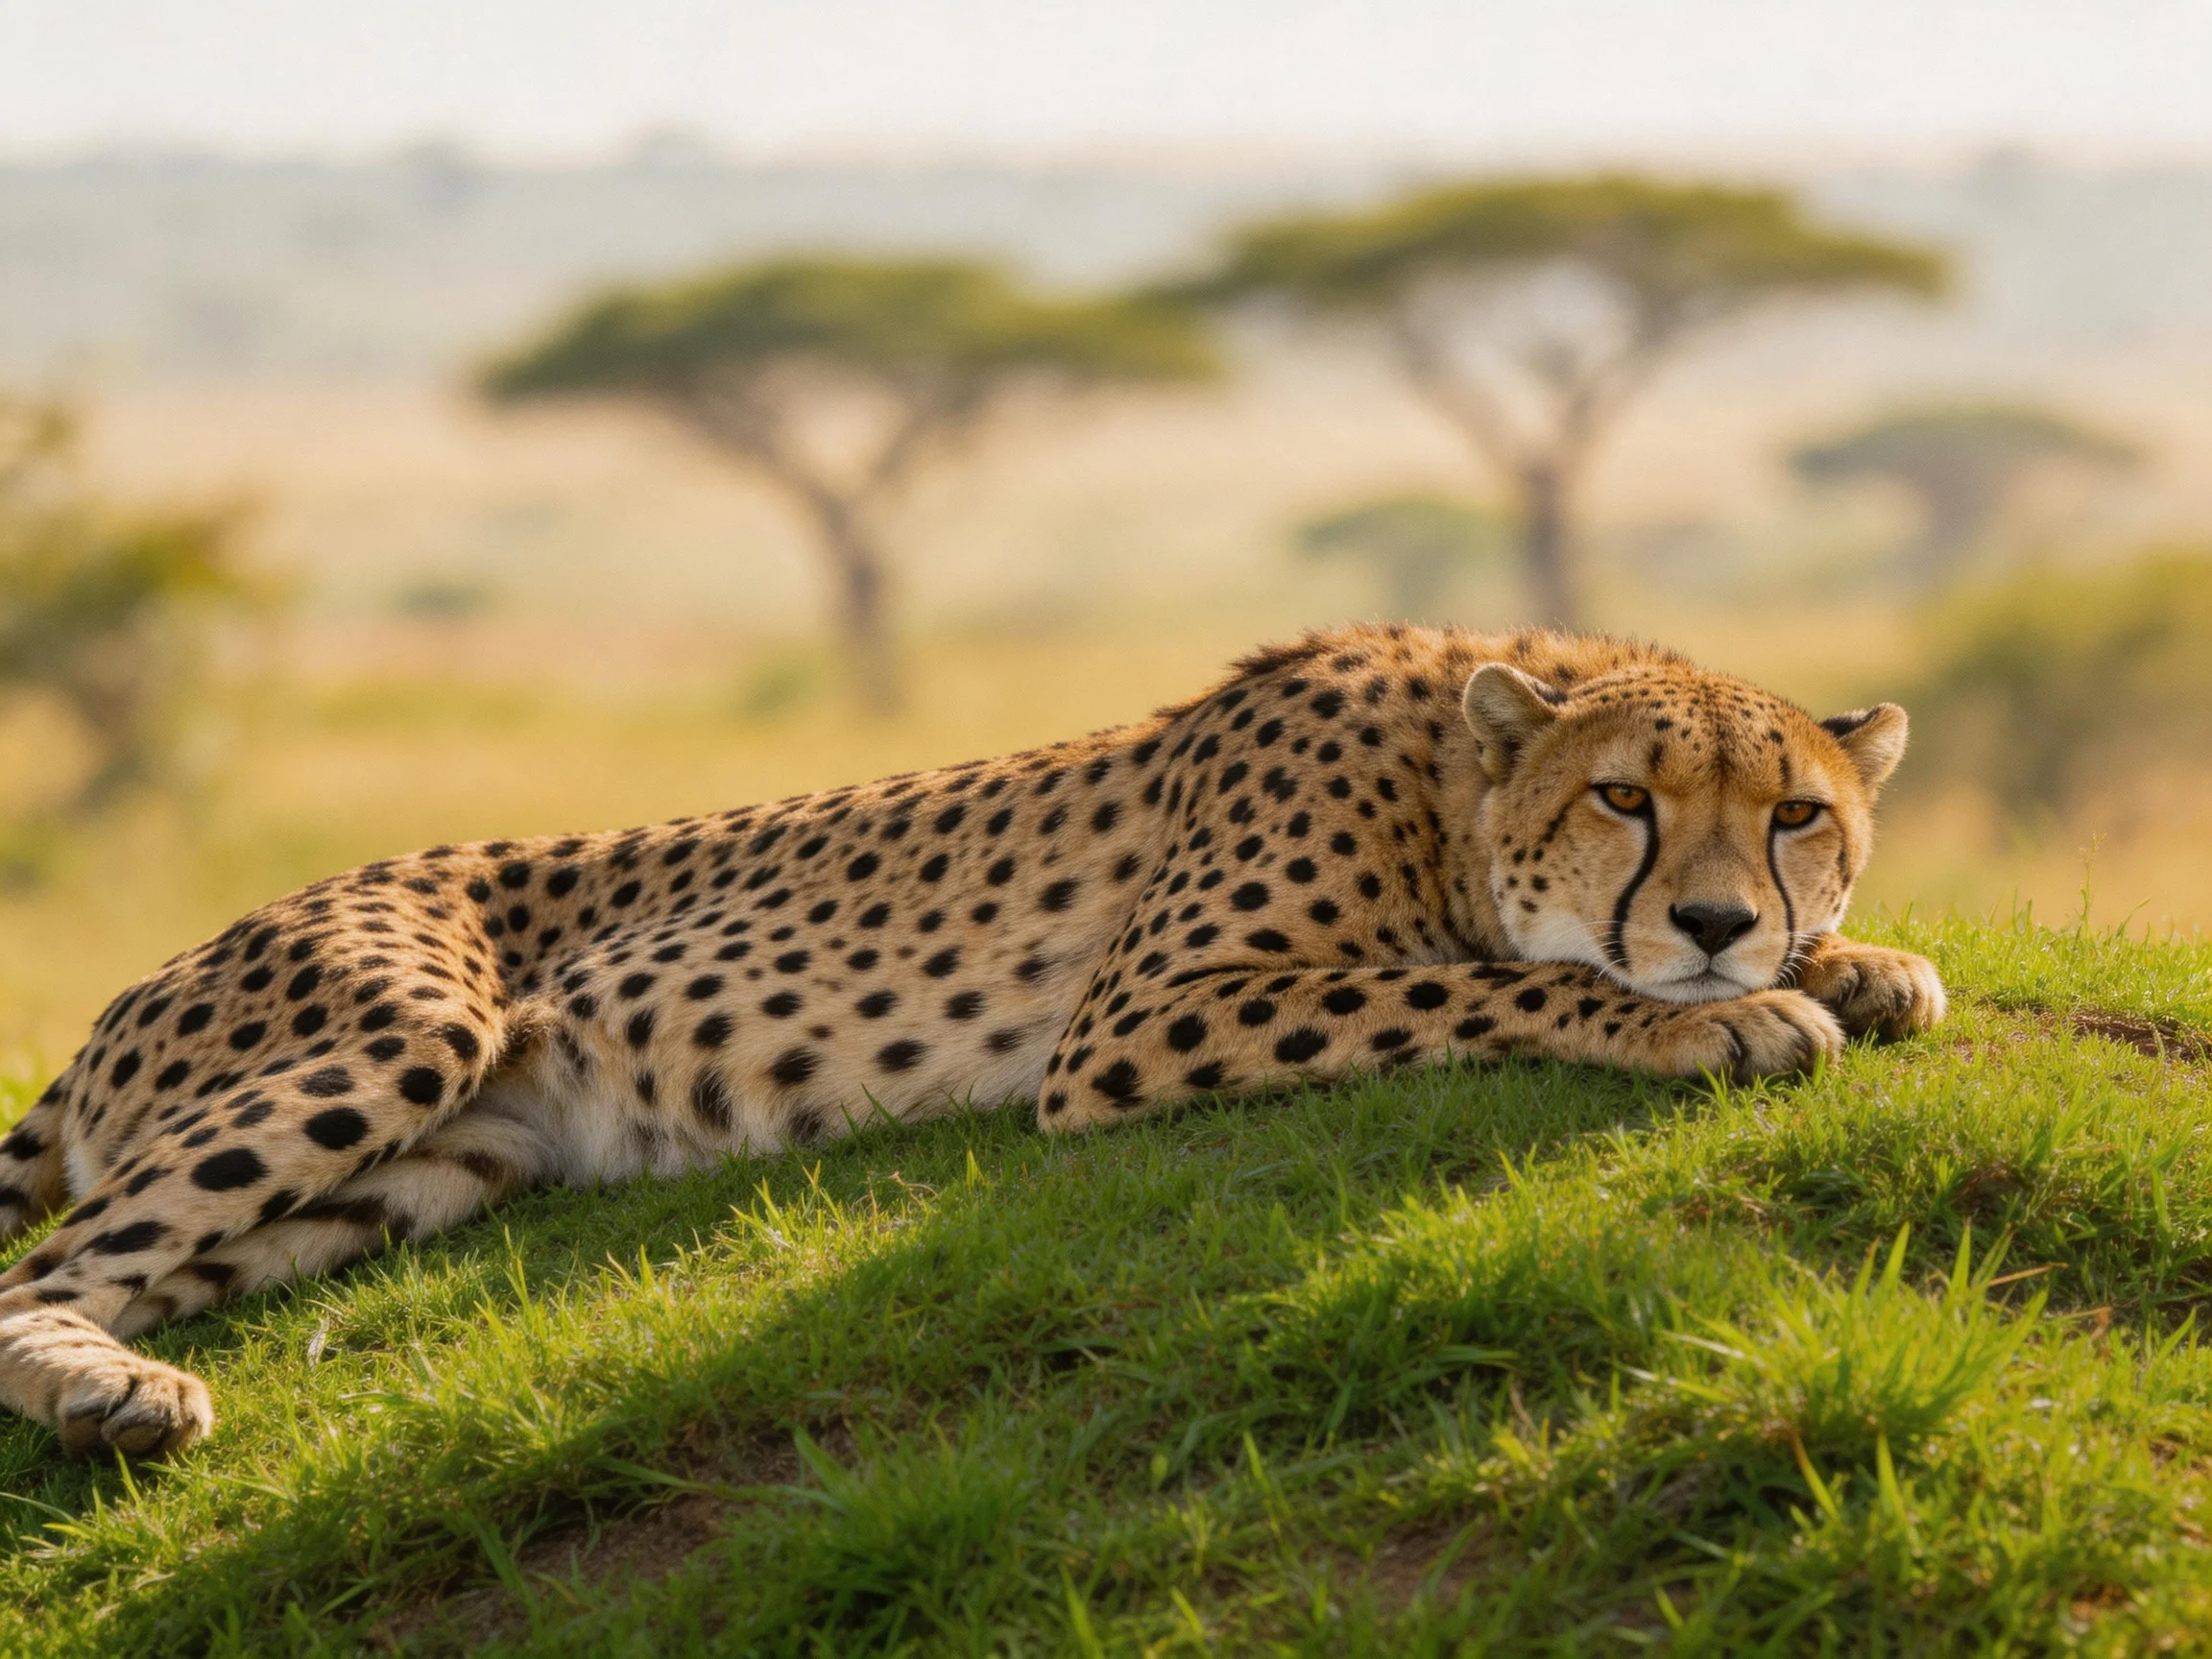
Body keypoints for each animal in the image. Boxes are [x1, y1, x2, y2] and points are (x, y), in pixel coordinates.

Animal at [0, 623, 1944, 1458]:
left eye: (1795, 815)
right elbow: (1482, 983)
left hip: (432, 1169)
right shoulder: (1139, 1022)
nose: (1716, 922)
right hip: (410, 1021)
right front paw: (1732, 1011)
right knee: (51, 1257)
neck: (1448, 778)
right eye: (1625, 797)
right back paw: (107, 1387)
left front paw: (1863, 965)